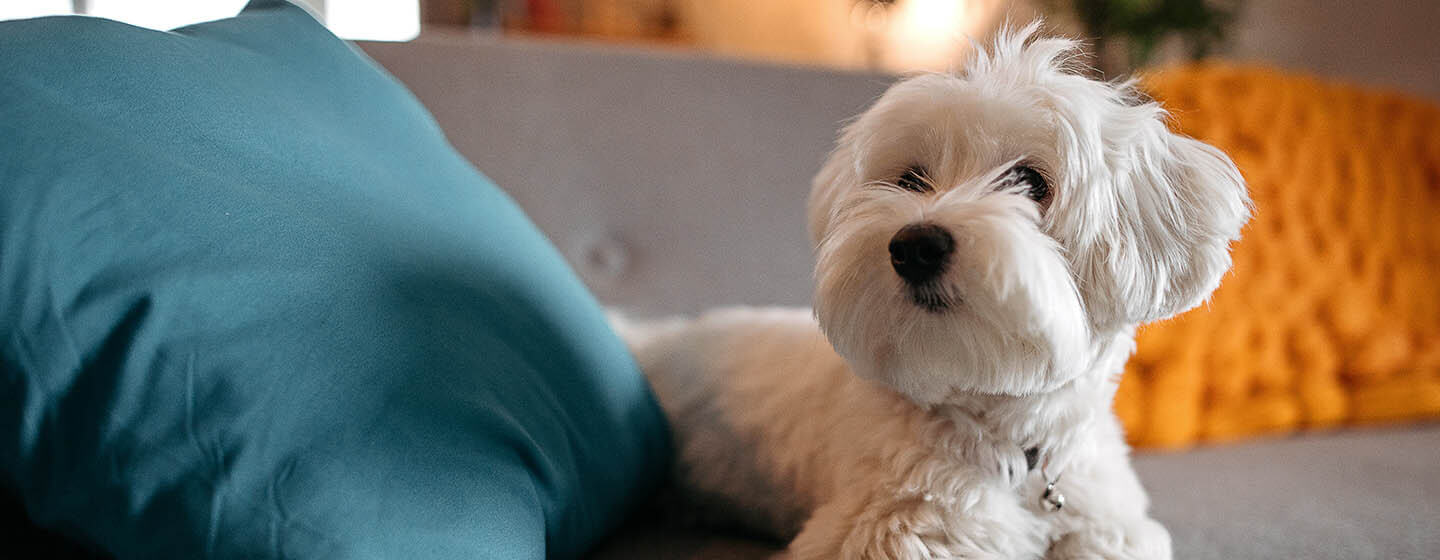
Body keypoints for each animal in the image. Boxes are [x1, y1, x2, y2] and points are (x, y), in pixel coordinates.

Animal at [619, 25, 1249, 558]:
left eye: (1031, 182)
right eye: (911, 179)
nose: (915, 245)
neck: (1012, 445)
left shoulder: (1108, 523)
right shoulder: (893, 527)